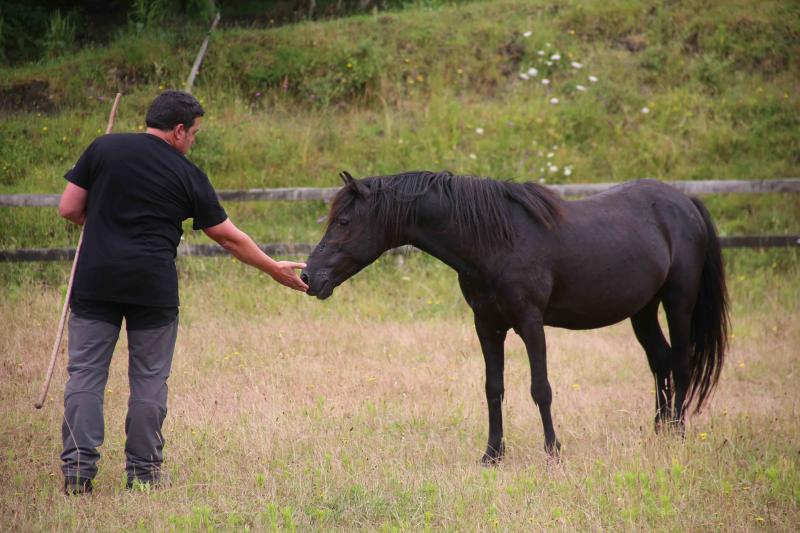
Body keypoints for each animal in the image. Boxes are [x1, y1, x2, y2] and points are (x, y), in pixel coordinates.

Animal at [304, 171, 728, 462]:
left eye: (344, 222)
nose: (310, 276)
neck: (496, 240)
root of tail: (685, 202)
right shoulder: (487, 325)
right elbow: (493, 387)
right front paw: (492, 455)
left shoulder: (530, 322)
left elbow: (541, 388)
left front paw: (553, 451)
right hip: (643, 309)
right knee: (660, 362)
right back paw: (658, 432)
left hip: (678, 301)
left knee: (682, 363)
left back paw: (677, 434)